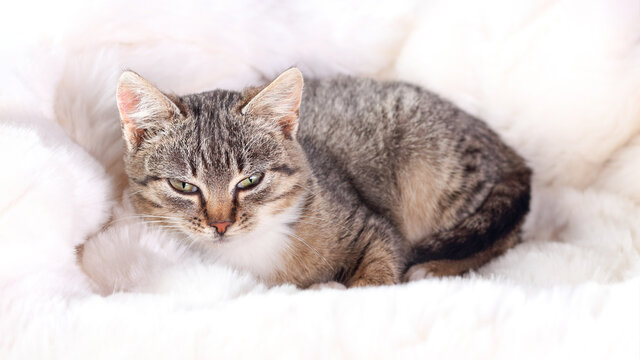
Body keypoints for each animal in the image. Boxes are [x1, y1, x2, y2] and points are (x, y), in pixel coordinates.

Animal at [114, 67, 528, 286]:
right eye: (183, 185)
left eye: (250, 181)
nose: (220, 224)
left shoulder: (374, 227)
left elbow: (377, 270)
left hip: (433, 176)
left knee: (503, 237)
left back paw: (435, 267)